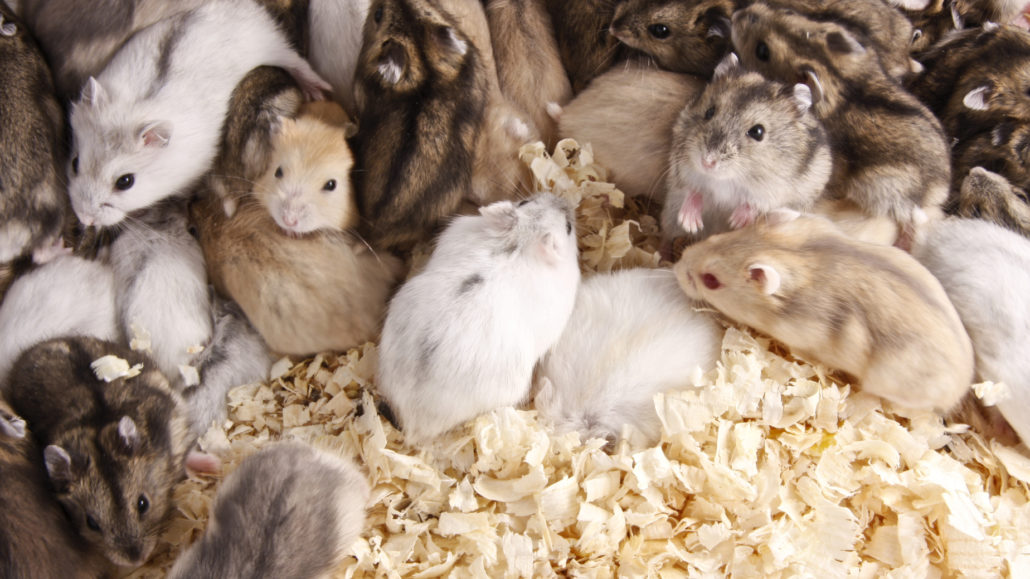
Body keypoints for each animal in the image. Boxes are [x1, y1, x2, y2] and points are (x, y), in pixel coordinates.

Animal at [662, 53, 832, 239]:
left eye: (758, 132)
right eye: (709, 112)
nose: (707, 162)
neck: (727, 178)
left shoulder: (775, 190)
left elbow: (755, 204)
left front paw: (736, 221)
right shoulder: (682, 169)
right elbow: (693, 190)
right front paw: (690, 223)